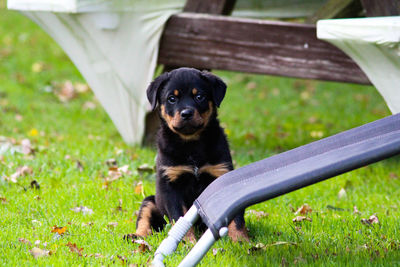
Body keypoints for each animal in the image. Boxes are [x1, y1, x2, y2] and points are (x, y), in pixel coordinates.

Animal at [134, 67, 247, 243]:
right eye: (172, 99)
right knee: (144, 219)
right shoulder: (171, 185)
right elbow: (179, 216)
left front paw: (241, 240)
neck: (191, 144)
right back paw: (136, 237)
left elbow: (236, 216)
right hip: (150, 201)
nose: (186, 113)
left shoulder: (222, 174)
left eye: (199, 96)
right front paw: (188, 242)